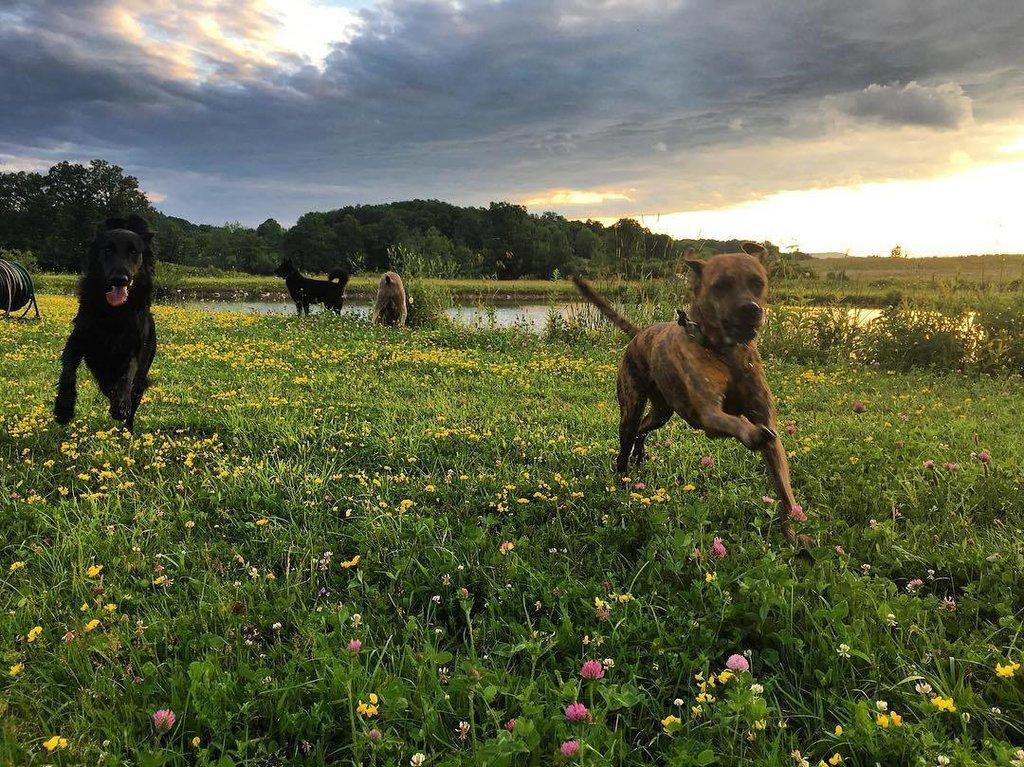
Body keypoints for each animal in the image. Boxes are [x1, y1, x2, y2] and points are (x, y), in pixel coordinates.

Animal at [55, 215, 156, 430]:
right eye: (108, 249)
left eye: (133, 251)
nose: (120, 279)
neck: (113, 312)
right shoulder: (78, 340)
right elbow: (68, 370)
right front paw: (63, 408)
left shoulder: (133, 348)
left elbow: (127, 374)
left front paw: (121, 405)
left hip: (143, 373)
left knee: (134, 395)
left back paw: (127, 427)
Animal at [577, 242, 806, 548]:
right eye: (720, 286)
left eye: (758, 282)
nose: (750, 309)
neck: (727, 354)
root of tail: (641, 332)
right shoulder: (709, 415)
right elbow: (738, 423)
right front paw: (753, 433)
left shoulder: (767, 421)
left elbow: (783, 488)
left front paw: (793, 535)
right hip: (631, 405)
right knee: (626, 440)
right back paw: (623, 475)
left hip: (661, 412)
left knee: (643, 430)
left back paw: (640, 456)